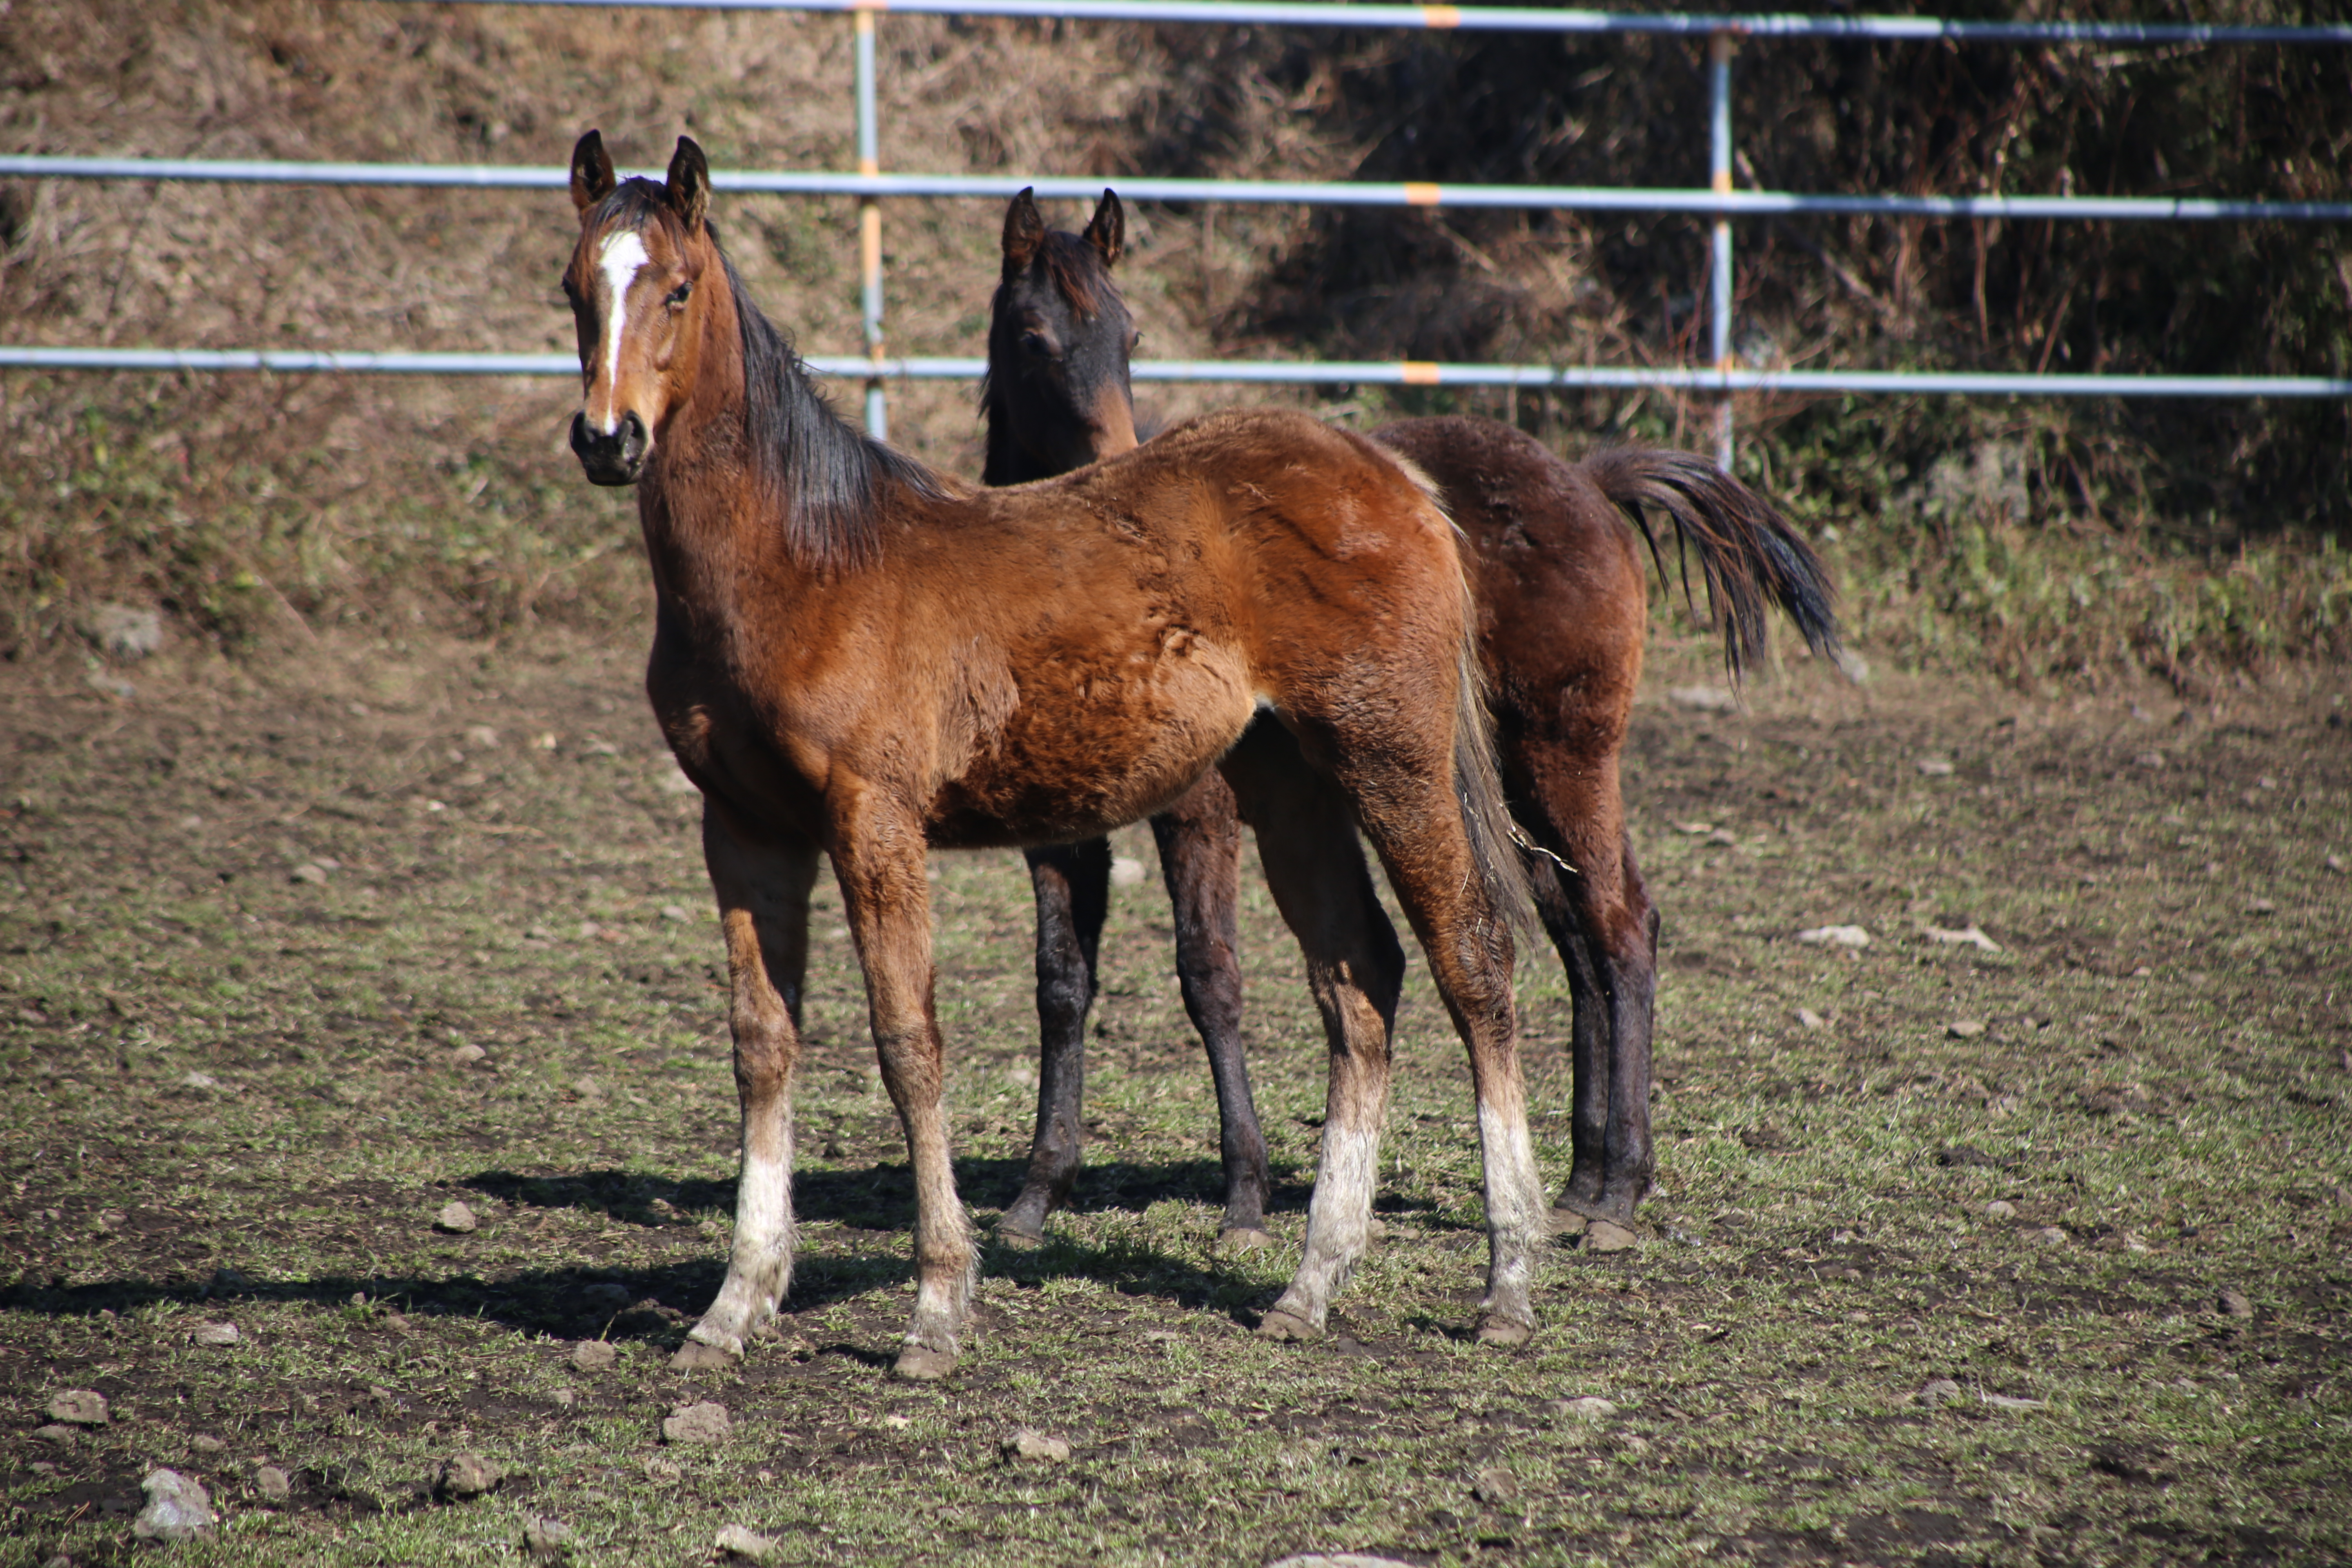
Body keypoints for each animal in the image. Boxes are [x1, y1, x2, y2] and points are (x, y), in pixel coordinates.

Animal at [552, 138, 1543, 1382]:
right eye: (575, 289)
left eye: (678, 289)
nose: (607, 439)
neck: (802, 558)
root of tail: (1394, 478)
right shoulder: (743, 826)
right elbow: (762, 1044)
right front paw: (733, 1306)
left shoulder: (873, 820)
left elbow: (908, 1043)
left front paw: (936, 1309)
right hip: (1291, 787)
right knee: (1359, 980)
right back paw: (1309, 1286)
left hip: (1390, 760)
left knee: (1473, 961)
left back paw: (1507, 1282)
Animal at [983, 187, 1844, 1250]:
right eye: (1032, 335)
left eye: (1129, 334)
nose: (1113, 460)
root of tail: (1587, 480)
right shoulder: (1057, 832)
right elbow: (1062, 982)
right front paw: (1035, 1192)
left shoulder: (1200, 811)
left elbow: (1207, 974)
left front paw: (1242, 1197)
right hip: (1501, 781)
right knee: (1572, 933)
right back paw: (1579, 1179)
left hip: (1564, 756)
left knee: (1620, 925)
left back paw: (1618, 1191)